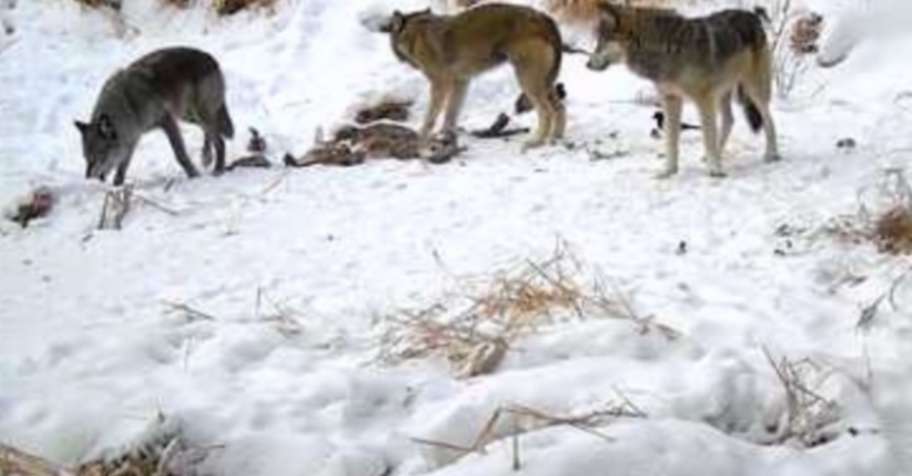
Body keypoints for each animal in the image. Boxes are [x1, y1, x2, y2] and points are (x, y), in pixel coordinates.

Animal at [75, 46, 234, 186]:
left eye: (99, 156)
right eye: (86, 157)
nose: (88, 178)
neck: (128, 104)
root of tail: (211, 58)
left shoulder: (166, 120)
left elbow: (180, 155)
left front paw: (194, 176)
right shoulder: (132, 140)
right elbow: (121, 171)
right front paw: (117, 188)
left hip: (197, 115)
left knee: (220, 141)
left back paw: (218, 170)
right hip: (187, 117)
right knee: (211, 131)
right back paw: (206, 156)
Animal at [379, 3, 565, 150]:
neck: (415, 35)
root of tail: (544, 17)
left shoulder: (440, 84)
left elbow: (431, 117)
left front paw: (423, 136)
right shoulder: (461, 81)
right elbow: (451, 114)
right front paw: (447, 136)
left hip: (527, 82)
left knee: (547, 112)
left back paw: (536, 142)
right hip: (544, 83)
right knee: (560, 108)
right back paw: (555, 138)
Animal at [587, 3, 779, 178]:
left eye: (602, 42)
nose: (587, 64)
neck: (667, 51)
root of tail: (753, 15)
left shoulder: (703, 100)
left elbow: (707, 137)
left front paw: (715, 170)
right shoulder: (671, 99)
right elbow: (671, 141)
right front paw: (668, 171)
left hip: (754, 90)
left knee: (768, 119)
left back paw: (771, 154)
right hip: (721, 94)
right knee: (729, 120)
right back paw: (717, 154)